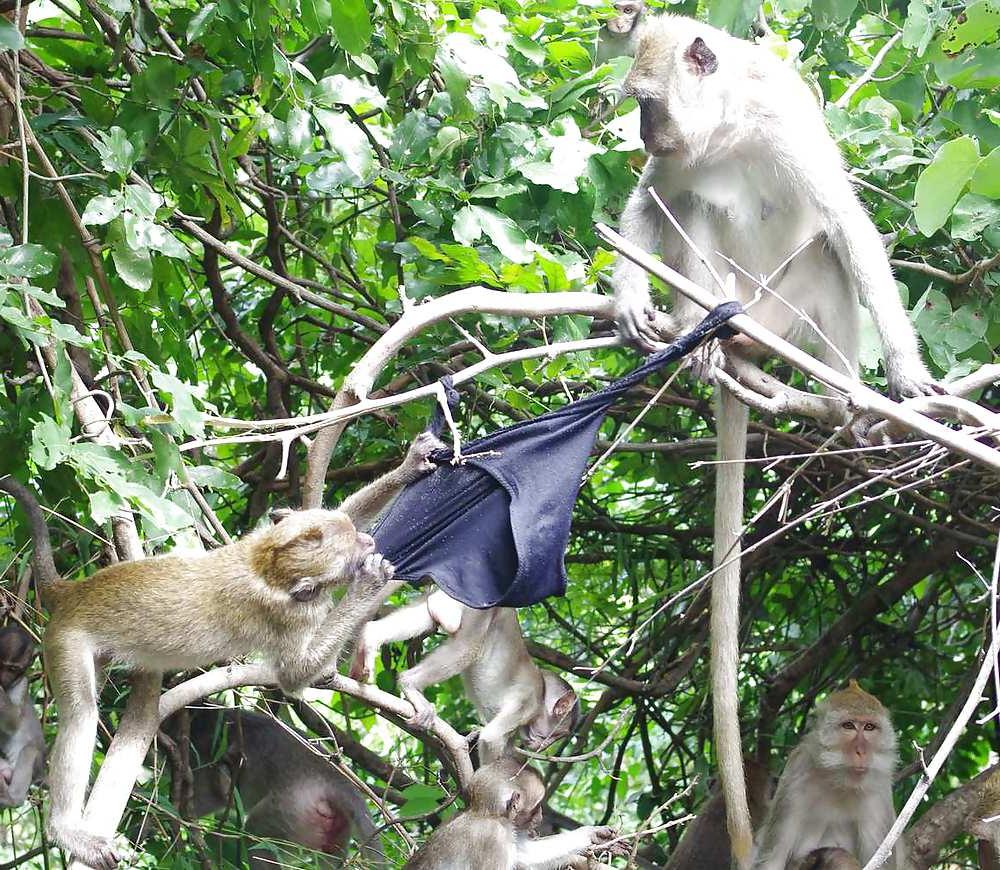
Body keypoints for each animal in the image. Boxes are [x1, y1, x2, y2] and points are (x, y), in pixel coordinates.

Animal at [163, 706, 385, 868]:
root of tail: (338, 780)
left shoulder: (199, 755)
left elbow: (202, 800)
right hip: (333, 827)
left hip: (293, 810)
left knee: (256, 834)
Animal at [350, 587, 580, 764]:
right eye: (559, 735)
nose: (545, 747)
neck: (542, 692)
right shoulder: (527, 702)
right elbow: (491, 738)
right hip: (478, 612)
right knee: (467, 648)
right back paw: (410, 684)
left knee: (427, 614)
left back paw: (369, 637)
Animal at [403, 756, 626, 869]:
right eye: (537, 806)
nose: (541, 816)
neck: (486, 813)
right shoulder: (494, 838)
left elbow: (525, 857)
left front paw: (594, 834)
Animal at [751, 681, 904, 870]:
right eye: (848, 726)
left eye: (869, 727)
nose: (861, 751)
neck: (840, 784)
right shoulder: (797, 772)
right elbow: (772, 860)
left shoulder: (879, 790)